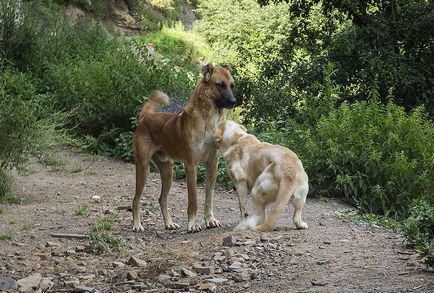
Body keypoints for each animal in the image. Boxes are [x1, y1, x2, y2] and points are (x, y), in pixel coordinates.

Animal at [131, 64, 236, 233]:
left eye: (232, 85)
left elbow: (209, 197)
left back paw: (169, 223)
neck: (209, 120)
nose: (234, 101)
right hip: (143, 168)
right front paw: (192, 224)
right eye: (220, 84)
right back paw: (137, 224)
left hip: (168, 172)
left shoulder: (212, 165)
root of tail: (146, 117)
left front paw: (210, 220)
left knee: (162, 199)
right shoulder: (191, 166)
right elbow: (193, 200)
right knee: (136, 199)